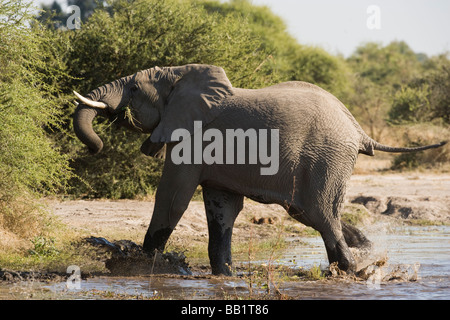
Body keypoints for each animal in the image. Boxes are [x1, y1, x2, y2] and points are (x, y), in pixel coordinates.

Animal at [72, 64, 444, 276]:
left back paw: (351, 269)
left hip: (327, 157)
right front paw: (224, 275)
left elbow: (174, 196)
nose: (95, 146)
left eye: (134, 89)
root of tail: (358, 129)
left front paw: (140, 262)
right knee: (314, 215)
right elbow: (221, 209)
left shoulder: (192, 135)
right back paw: (365, 259)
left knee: (321, 213)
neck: (179, 74)